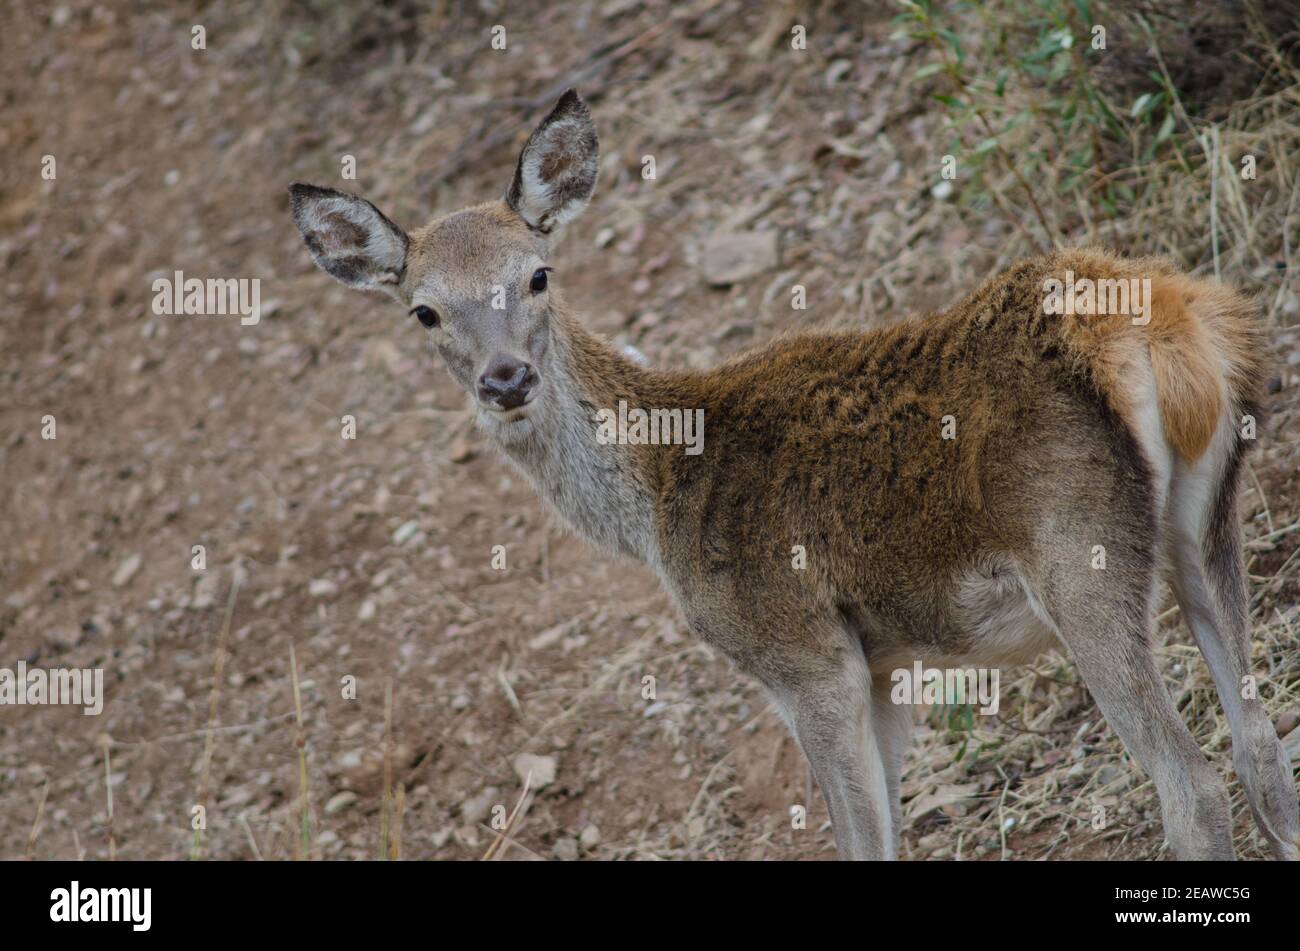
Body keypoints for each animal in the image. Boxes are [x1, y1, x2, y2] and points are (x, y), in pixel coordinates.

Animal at [288, 89, 1298, 860]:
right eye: (424, 310)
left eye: (539, 274)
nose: (506, 379)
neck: (659, 493)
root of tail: (1167, 327)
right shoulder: (884, 662)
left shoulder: (802, 655)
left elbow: (861, 843)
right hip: (1207, 520)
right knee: (1263, 750)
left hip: (1075, 548)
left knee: (1193, 782)